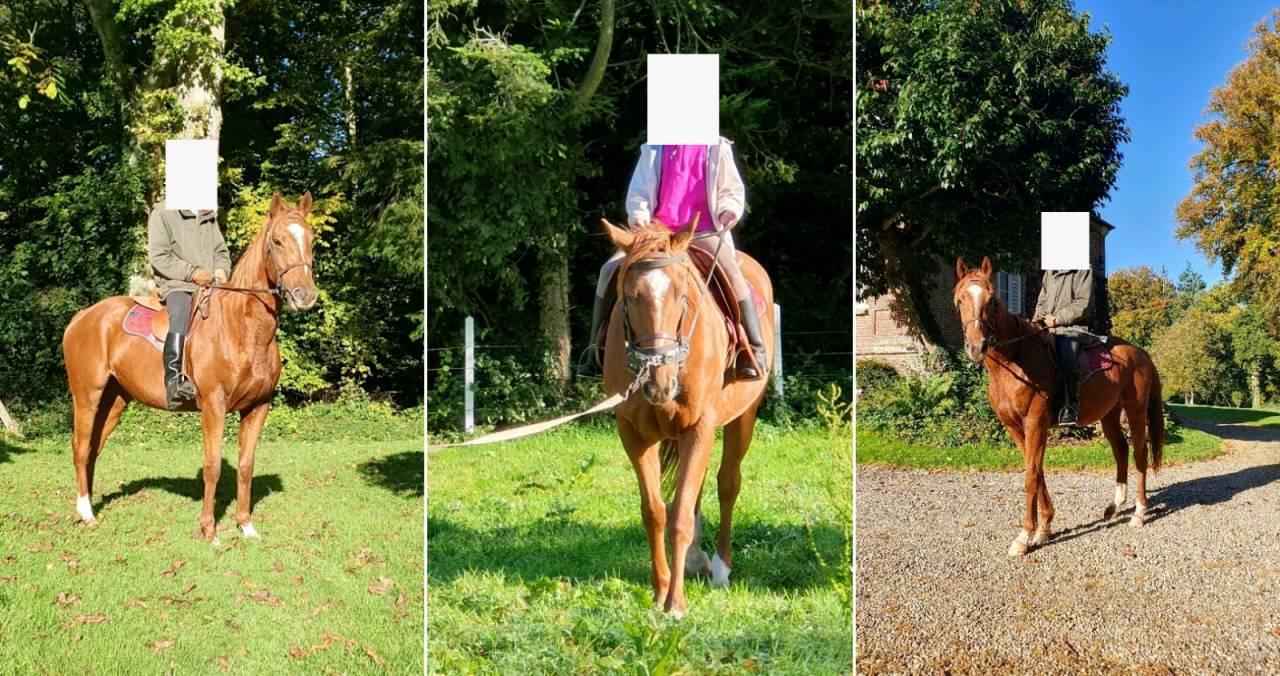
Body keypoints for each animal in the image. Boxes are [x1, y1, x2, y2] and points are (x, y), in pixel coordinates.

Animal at [61, 191, 318, 545]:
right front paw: (210, 531)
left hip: (114, 401)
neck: (242, 327)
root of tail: (81, 318)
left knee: (93, 448)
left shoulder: (258, 407)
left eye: (311, 240)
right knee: (80, 446)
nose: (305, 296)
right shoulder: (214, 405)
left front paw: (246, 526)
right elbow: (212, 467)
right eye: (277, 241)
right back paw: (86, 514)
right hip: (87, 396)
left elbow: (246, 465)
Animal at [600, 217, 775, 617]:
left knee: (728, 484)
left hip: (742, 417)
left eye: (682, 297)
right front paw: (660, 589)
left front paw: (675, 602)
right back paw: (696, 559)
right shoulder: (633, 434)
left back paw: (721, 567)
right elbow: (655, 512)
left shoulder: (700, 427)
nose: (659, 380)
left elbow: (679, 514)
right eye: (629, 297)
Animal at [953, 257, 1164, 556]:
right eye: (959, 300)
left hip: (1134, 411)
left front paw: (1024, 536)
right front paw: (1044, 528)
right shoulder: (1015, 428)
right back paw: (1115, 506)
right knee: (1121, 451)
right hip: (1109, 415)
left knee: (1140, 454)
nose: (976, 347)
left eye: (992, 300)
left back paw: (1139, 512)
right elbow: (1037, 471)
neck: (1017, 360)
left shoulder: (1035, 423)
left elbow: (1031, 475)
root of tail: (1141, 353)